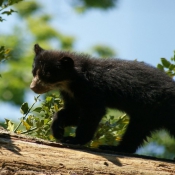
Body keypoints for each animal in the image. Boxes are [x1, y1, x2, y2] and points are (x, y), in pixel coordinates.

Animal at [30, 43, 175, 153]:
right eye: (34, 72)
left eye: (47, 74)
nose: (33, 87)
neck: (71, 82)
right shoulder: (71, 94)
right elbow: (73, 112)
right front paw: (58, 130)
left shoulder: (92, 89)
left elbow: (93, 113)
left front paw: (73, 139)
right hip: (147, 115)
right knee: (136, 132)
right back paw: (116, 148)